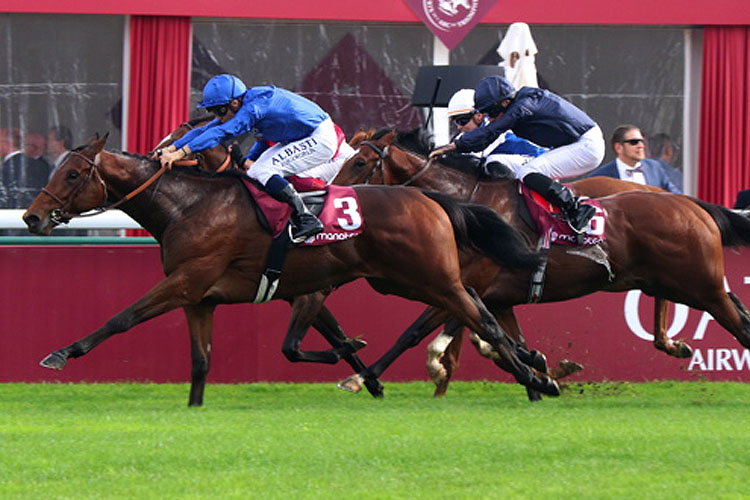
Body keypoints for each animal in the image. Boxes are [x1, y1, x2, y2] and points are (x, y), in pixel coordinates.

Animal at [20, 134, 560, 406]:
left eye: (73, 173)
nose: (31, 217)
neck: (188, 204)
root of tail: (431, 197)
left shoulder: (187, 281)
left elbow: (123, 317)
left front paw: (62, 353)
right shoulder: (204, 297)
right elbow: (203, 361)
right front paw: (194, 410)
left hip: (432, 278)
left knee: (481, 317)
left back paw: (534, 377)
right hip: (401, 281)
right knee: (477, 314)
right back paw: (534, 370)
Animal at [334, 128, 750, 394]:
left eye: (361, 163)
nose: (334, 196)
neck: (471, 204)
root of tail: (689, 202)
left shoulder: (461, 287)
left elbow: (416, 332)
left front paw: (366, 377)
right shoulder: (495, 297)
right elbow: (503, 338)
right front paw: (541, 373)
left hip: (702, 286)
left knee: (739, 323)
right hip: (672, 282)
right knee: (736, 310)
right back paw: (674, 344)